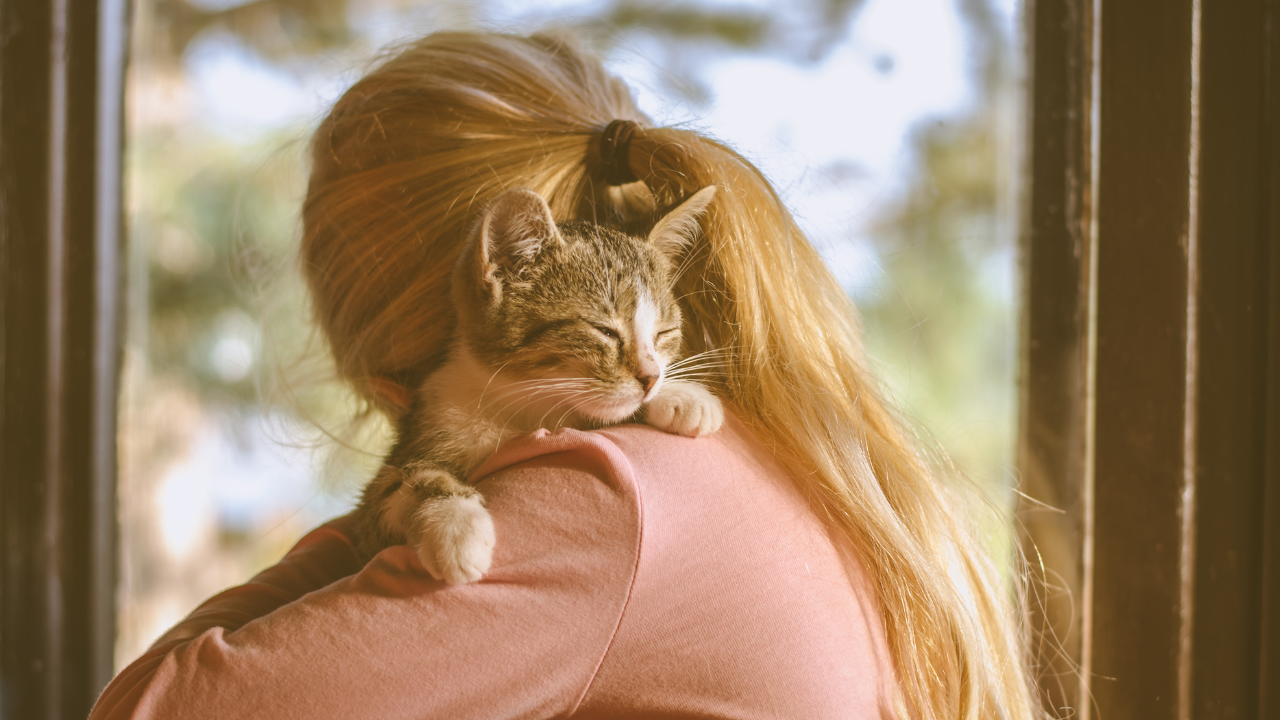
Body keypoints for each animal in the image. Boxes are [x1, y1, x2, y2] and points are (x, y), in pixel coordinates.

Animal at [350, 184, 727, 584]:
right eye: (604, 331)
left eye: (663, 333)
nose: (651, 378)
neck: (524, 405)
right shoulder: (384, 492)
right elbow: (404, 483)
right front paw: (456, 528)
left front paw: (683, 396)